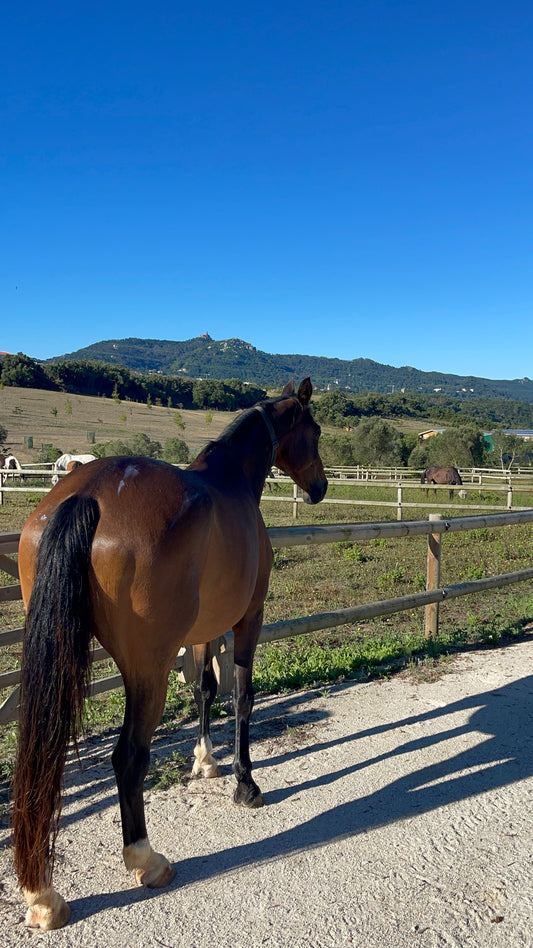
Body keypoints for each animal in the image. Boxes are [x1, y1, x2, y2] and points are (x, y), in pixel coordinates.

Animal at [12, 380, 326, 932]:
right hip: (147, 672)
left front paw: (205, 761)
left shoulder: (203, 631)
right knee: (128, 758)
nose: (321, 487)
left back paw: (43, 896)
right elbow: (242, 699)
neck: (231, 480)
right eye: (316, 431)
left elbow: (204, 689)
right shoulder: (248, 619)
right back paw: (147, 860)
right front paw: (246, 784)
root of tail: (85, 494)